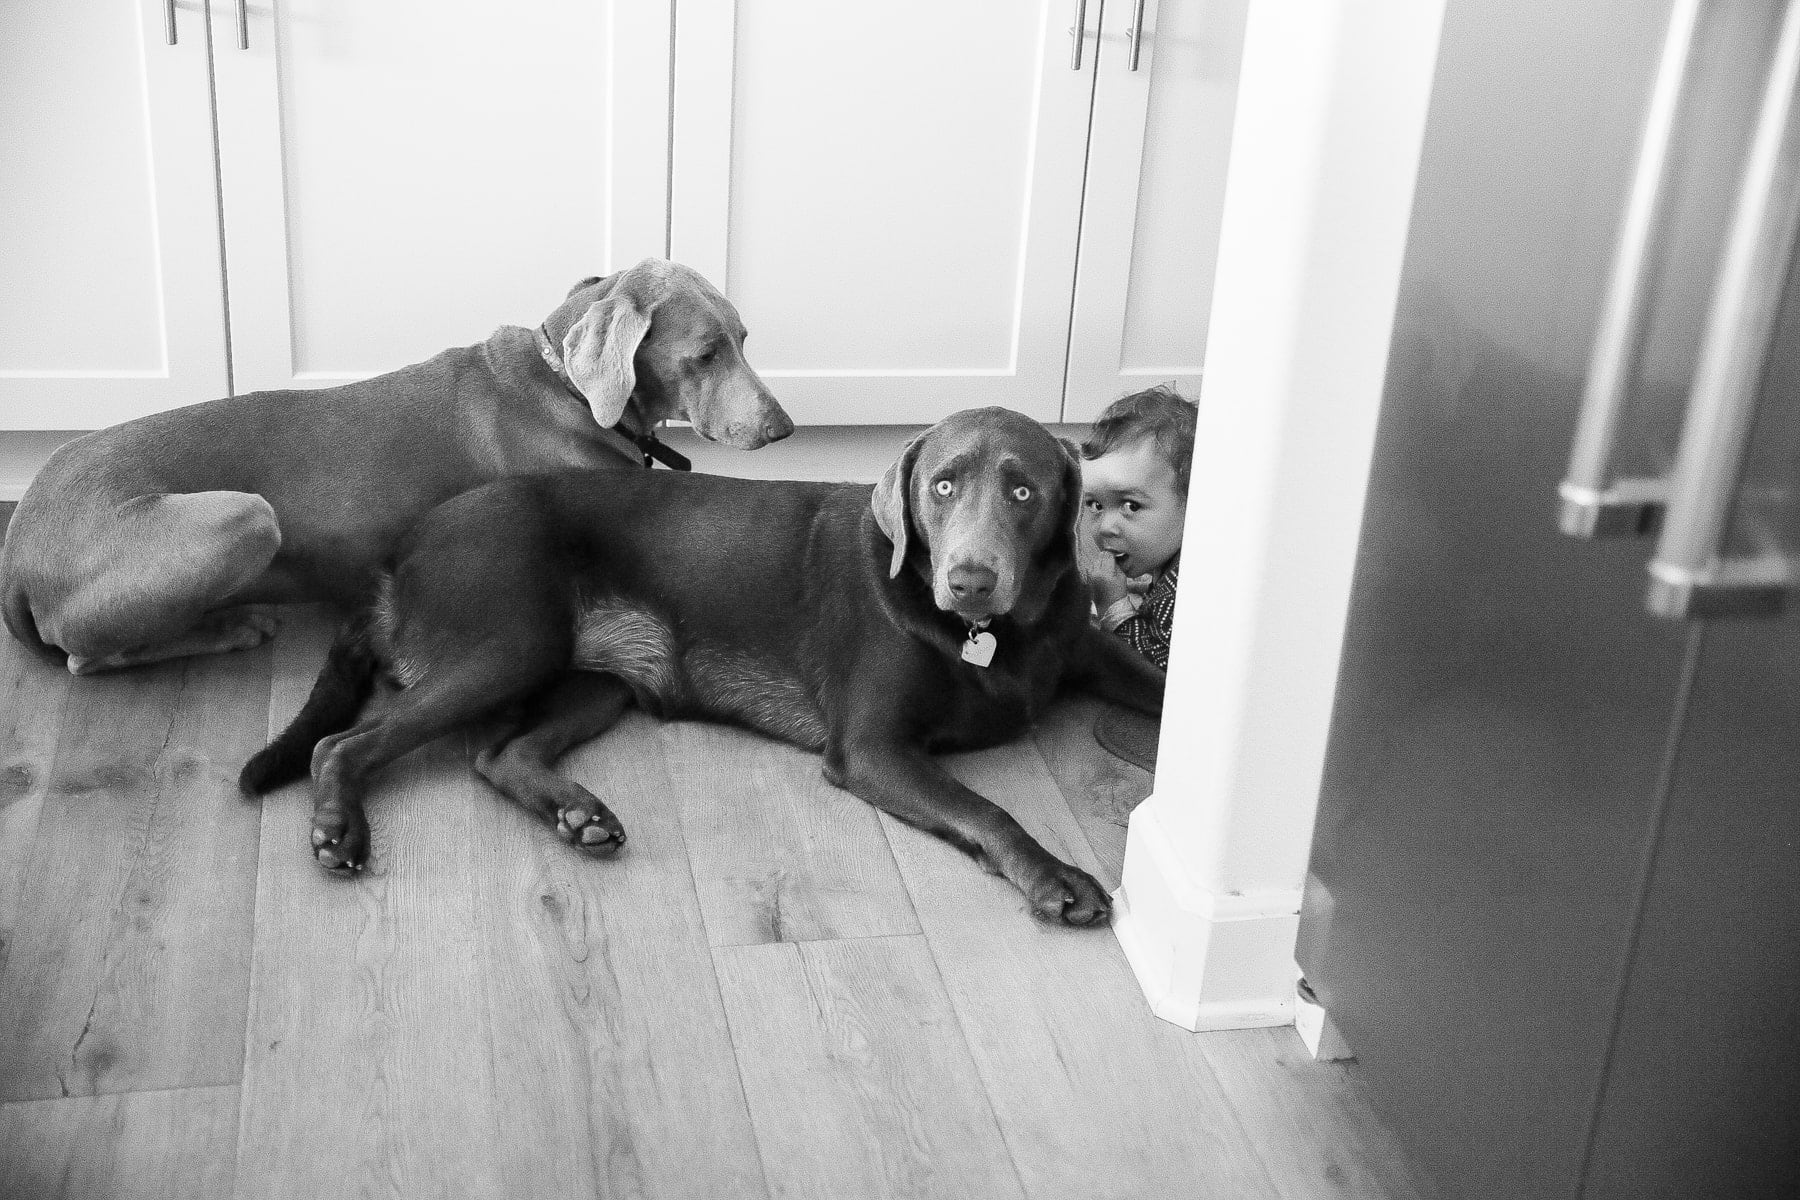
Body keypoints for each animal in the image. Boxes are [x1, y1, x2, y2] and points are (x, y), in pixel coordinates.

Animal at [0, 260, 788, 676]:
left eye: (747, 339)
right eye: (706, 353)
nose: (783, 428)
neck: (565, 384)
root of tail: (19, 551)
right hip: (244, 516)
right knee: (87, 657)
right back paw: (231, 628)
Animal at [243, 408, 1166, 928]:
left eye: (1024, 492)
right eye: (941, 487)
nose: (970, 580)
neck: (990, 635)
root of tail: (397, 556)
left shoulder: (1086, 649)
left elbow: (1158, 689)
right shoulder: (874, 749)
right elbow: (989, 811)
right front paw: (1055, 879)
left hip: (596, 680)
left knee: (500, 755)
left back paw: (578, 815)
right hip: (508, 642)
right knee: (342, 744)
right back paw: (338, 830)